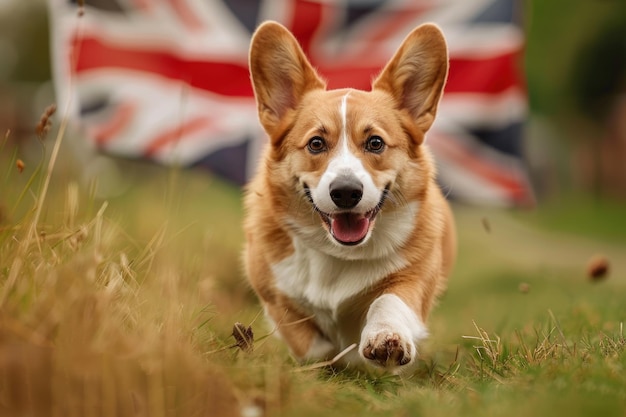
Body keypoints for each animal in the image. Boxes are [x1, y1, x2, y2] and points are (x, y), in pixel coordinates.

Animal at [244, 19, 454, 372]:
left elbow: (388, 301)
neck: (340, 253)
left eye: (375, 143)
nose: (345, 192)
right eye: (316, 143)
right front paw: (333, 362)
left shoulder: (414, 278)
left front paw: (386, 339)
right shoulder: (276, 296)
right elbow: (311, 344)